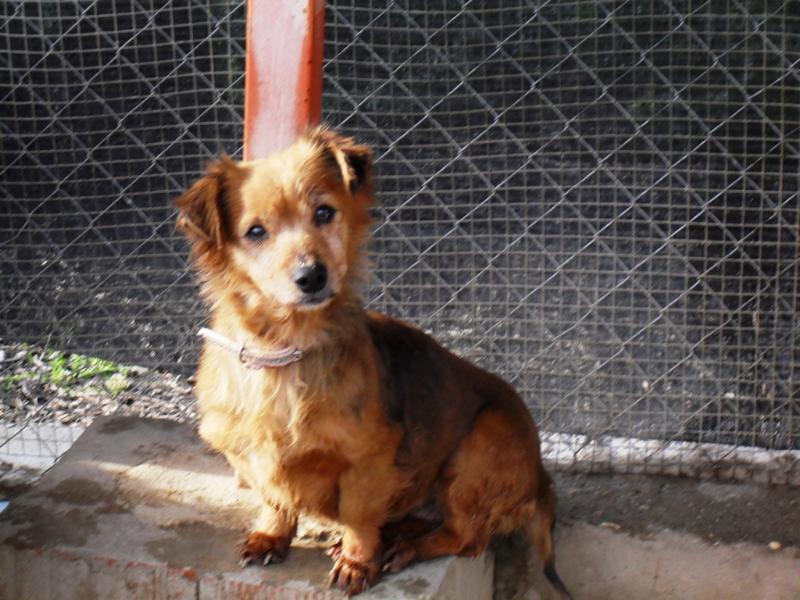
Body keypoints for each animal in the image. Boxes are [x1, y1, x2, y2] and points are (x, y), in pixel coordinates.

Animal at [175, 127, 569, 597]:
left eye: (324, 212)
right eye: (255, 231)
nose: (312, 276)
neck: (286, 351)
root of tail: (542, 482)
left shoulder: (371, 457)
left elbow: (359, 514)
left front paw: (358, 561)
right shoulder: (243, 452)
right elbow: (275, 498)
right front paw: (272, 534)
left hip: (483, 441)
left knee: (465, 536)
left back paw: (401, 547)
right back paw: (398, 532)